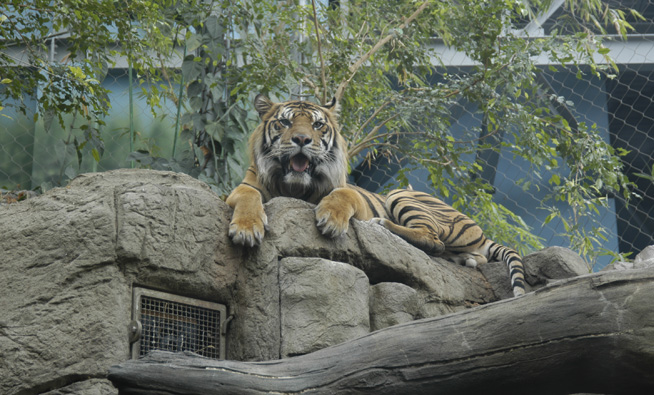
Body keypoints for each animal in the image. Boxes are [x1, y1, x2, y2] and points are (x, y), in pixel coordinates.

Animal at [226, 95, 528, 296]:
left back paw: (383, 225)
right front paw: (246, 229)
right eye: (285, 122)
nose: (301, 139)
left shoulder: (353, 196)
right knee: (452, 250)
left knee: (432, 238)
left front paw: (331, 220)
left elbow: (342, 196)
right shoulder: (245, 187)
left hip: (400, 194)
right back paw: (466, 260)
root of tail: (480, 231)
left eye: (318, 125)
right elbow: (248, 197)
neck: (294, 186)